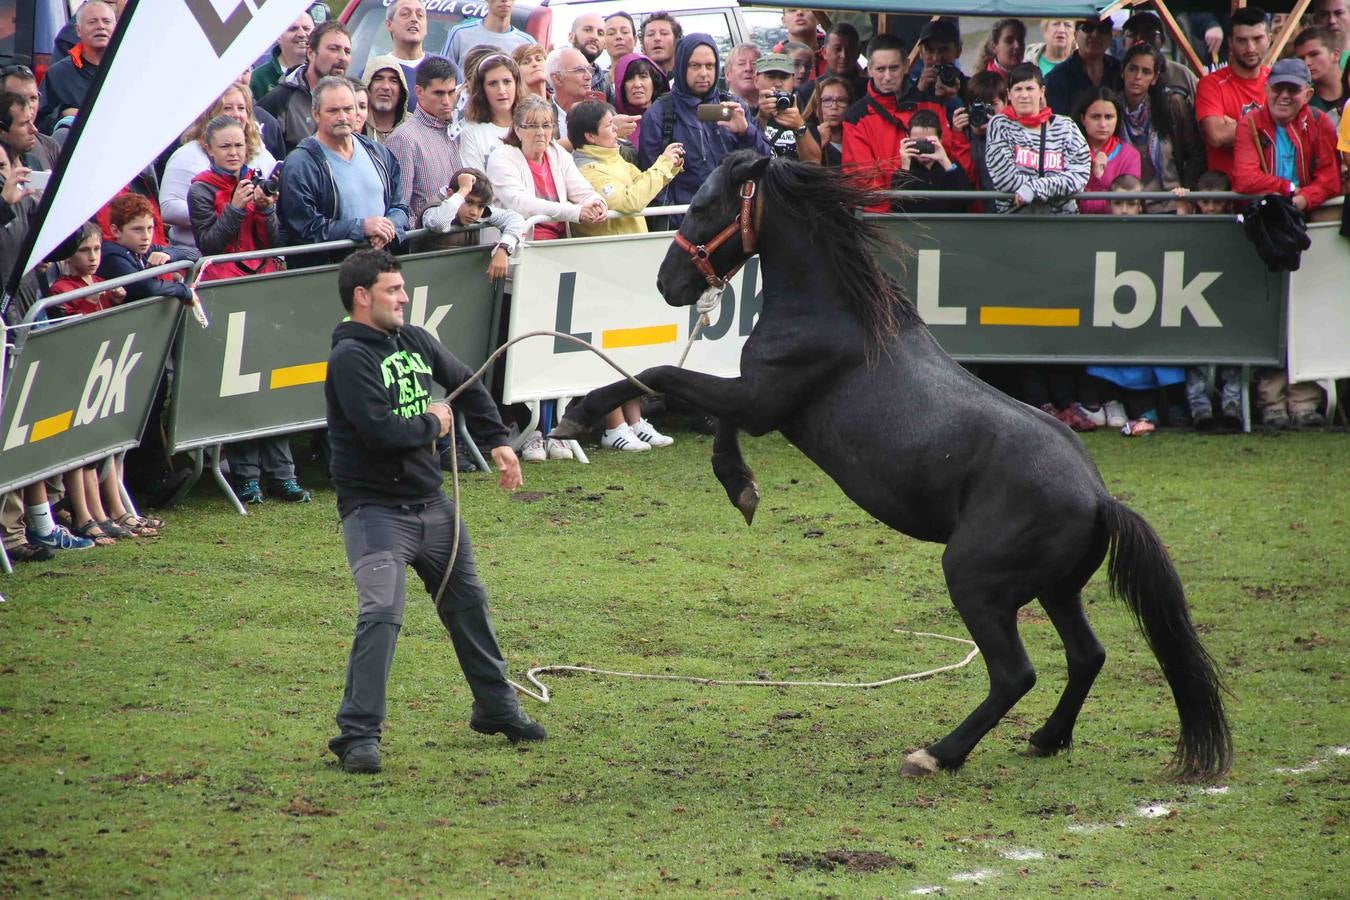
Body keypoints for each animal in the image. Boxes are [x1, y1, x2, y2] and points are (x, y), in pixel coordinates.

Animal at [550, 149, 1236, 782]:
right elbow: (706, 413)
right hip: (1056, 589)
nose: (667, 284)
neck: (838, 313)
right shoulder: (758, 400)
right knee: (1088, 656)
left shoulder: (762, 397)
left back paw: (937, 754)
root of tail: (1098, 498)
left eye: (701, 206)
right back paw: (1046, 738)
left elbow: (663, 374)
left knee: (1016, 673)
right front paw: (740, 486)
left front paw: (577, 415)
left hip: (977, 580)